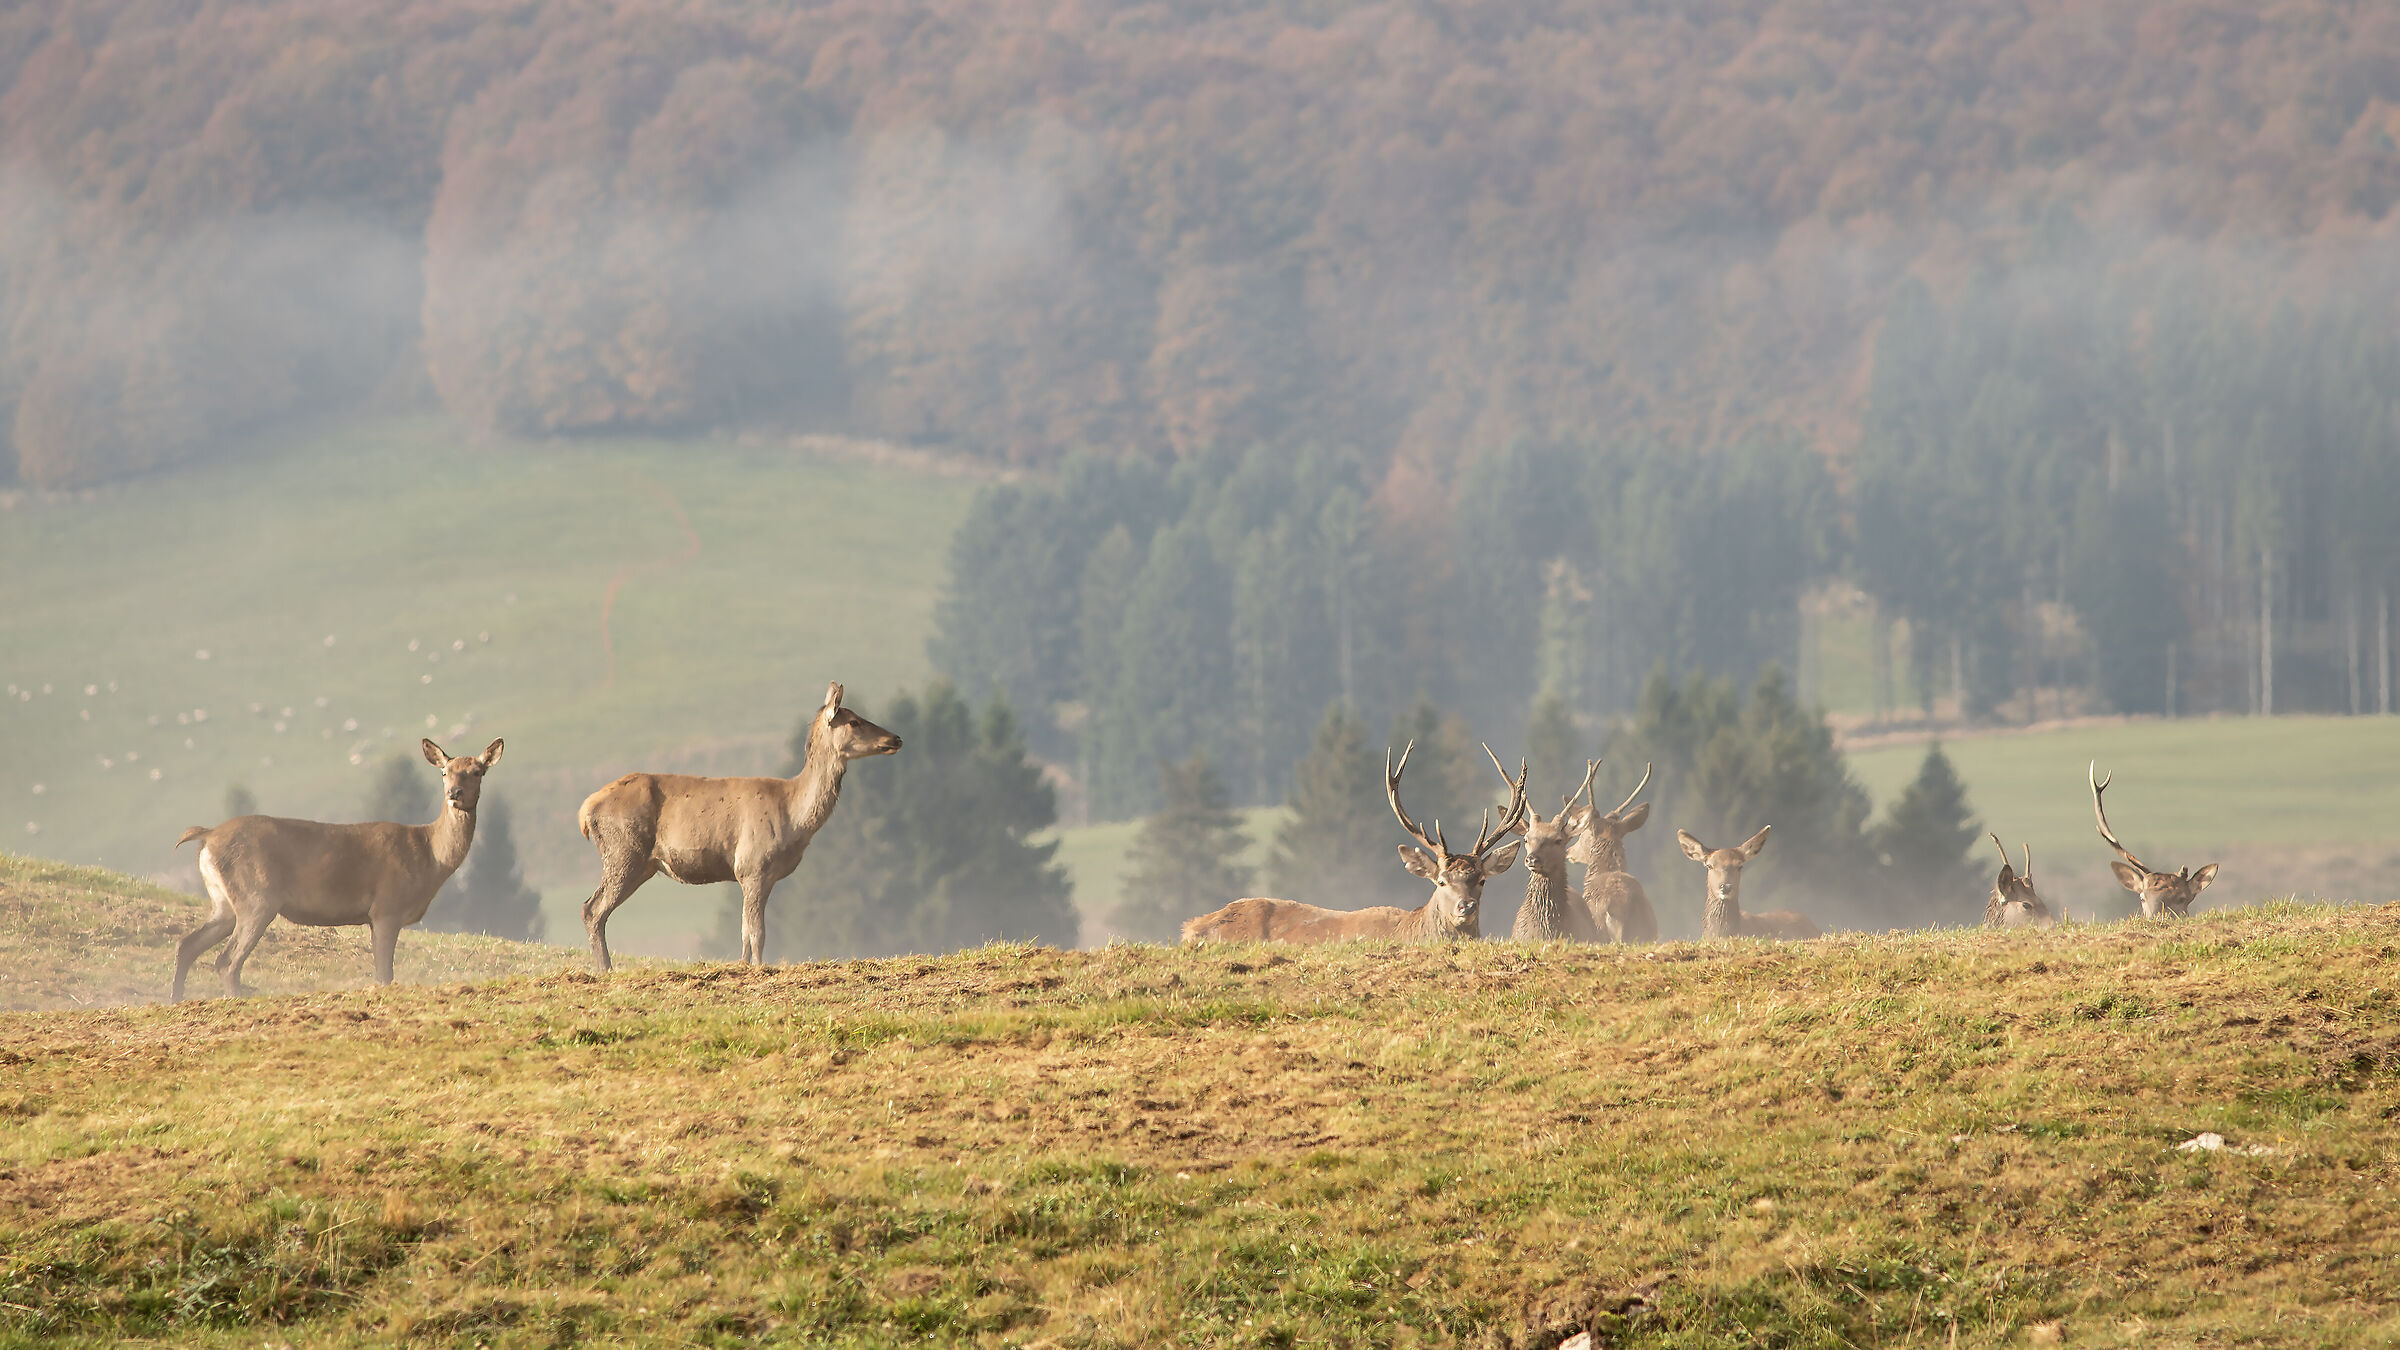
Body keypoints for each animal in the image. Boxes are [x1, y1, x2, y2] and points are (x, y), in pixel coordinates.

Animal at [171, 738, 504, 1001]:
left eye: (477, 771)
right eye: (445, 772)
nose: (454, 793)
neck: (429, 857)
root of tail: (208, 835)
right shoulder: (387, 907)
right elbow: (385, 974)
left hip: (223, 902)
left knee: (188, 944)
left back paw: (176, 998)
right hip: (257, 896)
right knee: (226, 960)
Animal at [576, 682, 901, 970]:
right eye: (854, 721)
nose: (896, 738)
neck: (795, 819)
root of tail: (585, 811)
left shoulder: (757, 874)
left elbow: (745, 931)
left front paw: (742, 966)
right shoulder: (753, 864)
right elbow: (757, 932)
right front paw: (758, 968)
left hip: (642, 863)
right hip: (624, 850)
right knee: (593, 908)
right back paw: (605, 968)